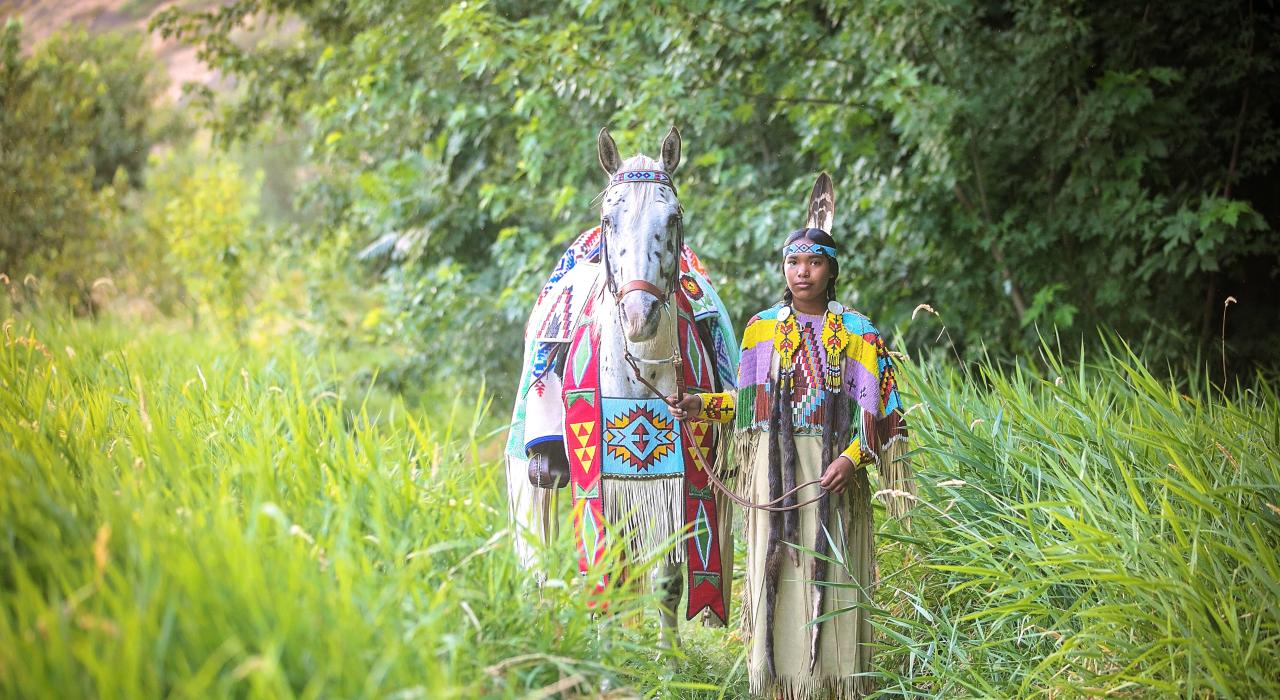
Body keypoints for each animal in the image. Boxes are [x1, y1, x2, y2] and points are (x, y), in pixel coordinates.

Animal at [504, 127, 738, 650]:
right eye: (609, 219)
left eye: (673, 217)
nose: (638, 316)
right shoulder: (602, 478)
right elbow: (605, 565)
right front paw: (608, 649)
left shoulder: (677, 481)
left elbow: (668, 578)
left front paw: (669, 659)